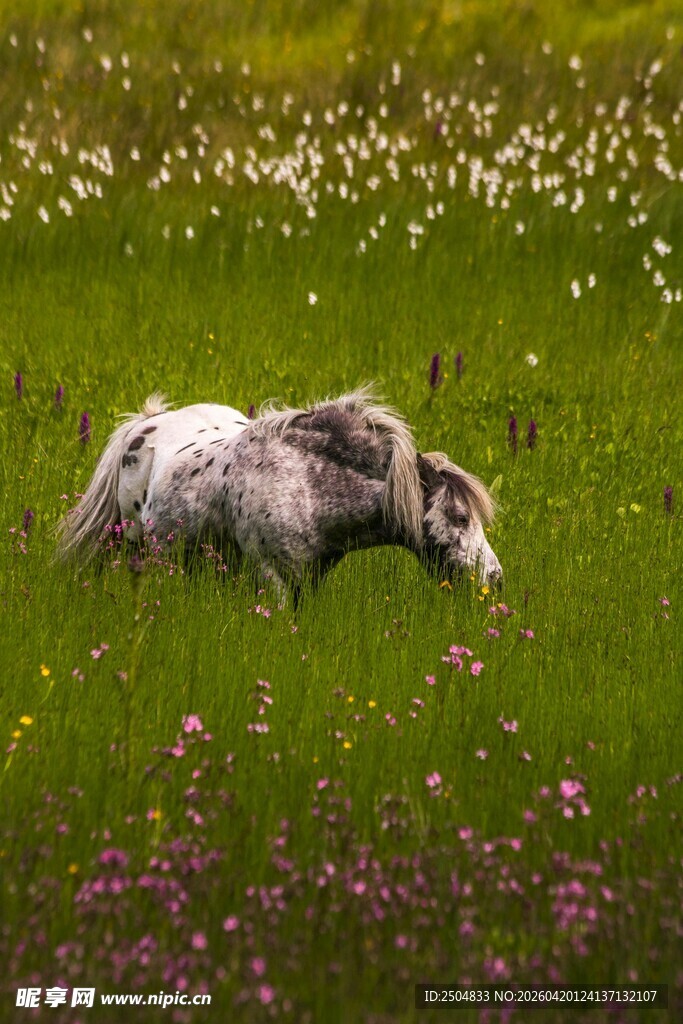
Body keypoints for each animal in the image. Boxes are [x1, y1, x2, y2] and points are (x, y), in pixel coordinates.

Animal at [57, 387, 502, 602]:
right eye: (461, 517)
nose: (494, 578)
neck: (308, 485)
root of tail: (148, 422)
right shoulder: (272, 576)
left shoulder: (311, 578)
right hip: (137, 547)